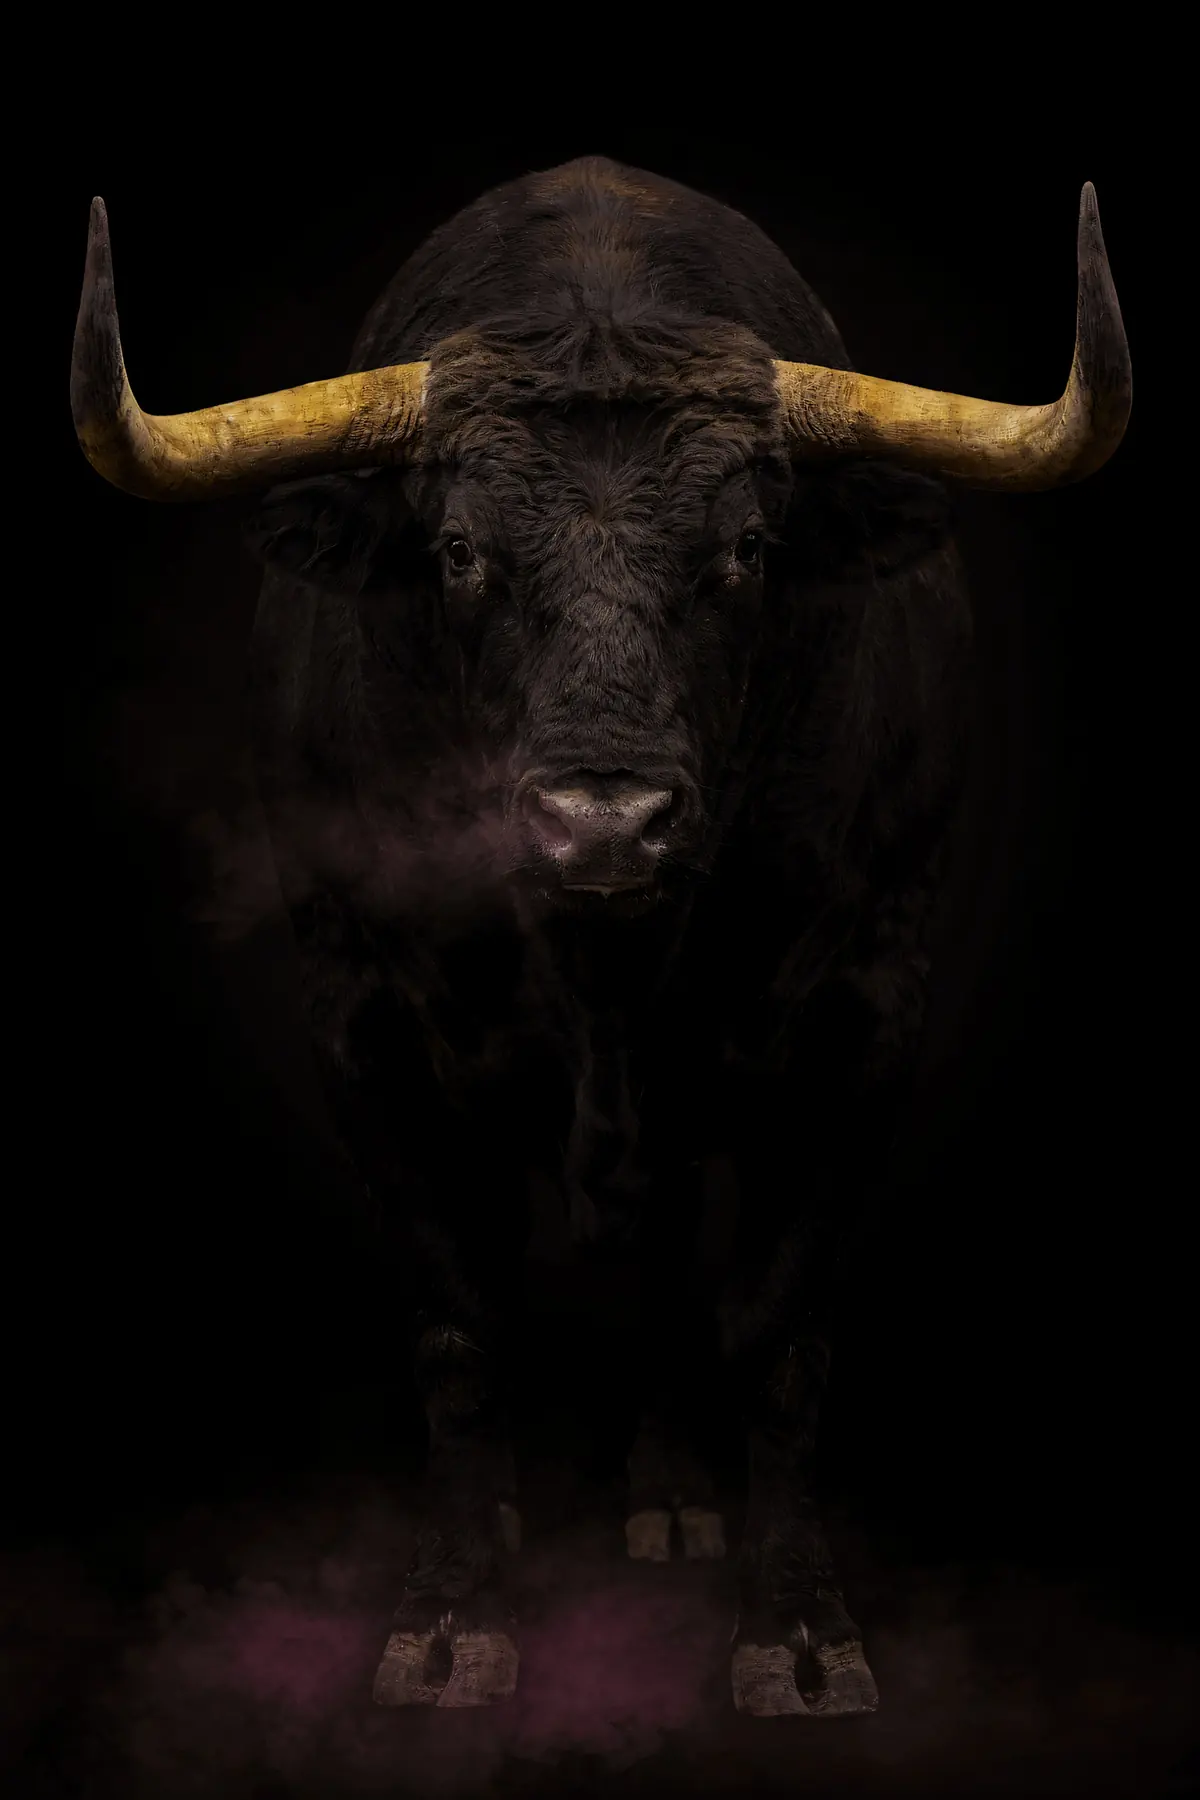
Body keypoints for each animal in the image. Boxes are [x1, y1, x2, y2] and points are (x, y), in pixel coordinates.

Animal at [71, 155, 1130, 1718]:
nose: (604, 820)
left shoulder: (870, 1007)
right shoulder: (359, 1013)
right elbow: (457, 1320)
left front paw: (796, 1634)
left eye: (746, 550)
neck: (605, 973)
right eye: (459, 551)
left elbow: (783, 1326)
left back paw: (674, 1498)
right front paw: (450, 1621)